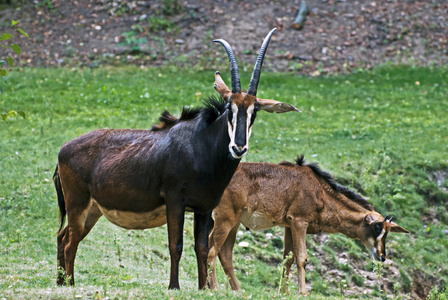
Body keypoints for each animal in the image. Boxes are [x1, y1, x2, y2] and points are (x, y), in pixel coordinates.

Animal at [52, 29, 300, 290]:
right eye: (229, 108)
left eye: (254, 112)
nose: (238, 147)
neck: (202, 148)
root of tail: (63, 151)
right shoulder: (175, 202)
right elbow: (176, 246)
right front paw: (174, 286)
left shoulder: (204, 208)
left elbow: (201, 248)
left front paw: (202, 288)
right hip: (78, 203)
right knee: (71, 240)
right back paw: (70, 283)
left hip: (92, 209)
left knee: (63, 236)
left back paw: (61, 282)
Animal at [207, 156, 410, 294]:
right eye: (377, 228)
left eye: (388, 231)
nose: (382, 256)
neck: (319, 191)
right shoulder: (299, 221)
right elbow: (301, 257)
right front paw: (302, 292)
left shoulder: (289, 225)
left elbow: (288, 258)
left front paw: (284, 292)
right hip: (225, 218)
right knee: (213, 249)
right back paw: (214, 288)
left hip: (234, 223)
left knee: (225, 253)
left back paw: (237, 290)